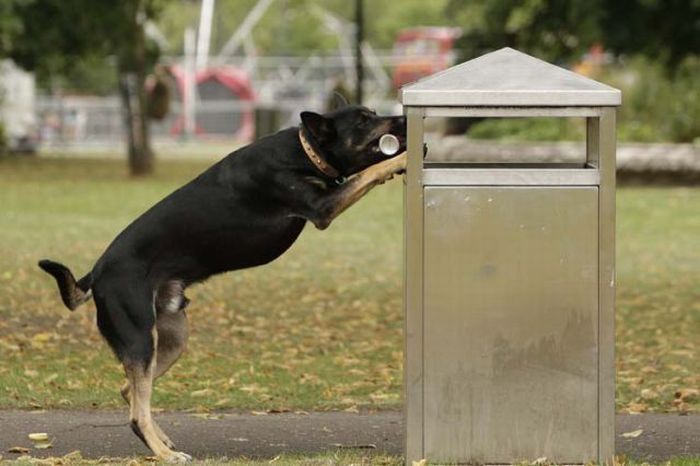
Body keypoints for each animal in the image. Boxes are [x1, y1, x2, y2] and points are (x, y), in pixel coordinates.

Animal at [38, 104, 408, 460]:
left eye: (374, 114)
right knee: (136, 411)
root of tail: (96, 274)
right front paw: (401, 161)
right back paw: (164, 453)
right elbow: (369, 172)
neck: (307, 150)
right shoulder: (323, 208)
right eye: (362, 122)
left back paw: (163, 441)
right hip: (141, 338)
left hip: (172, 339)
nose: (403, 120)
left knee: (130, 390)